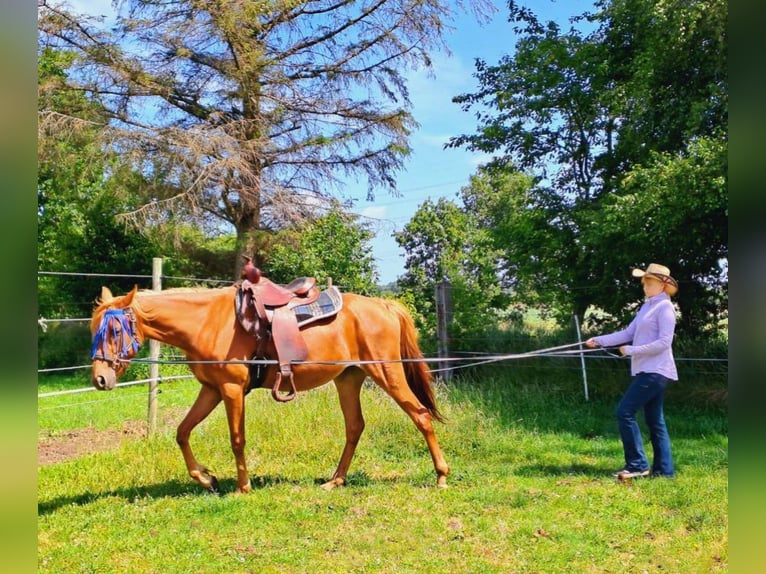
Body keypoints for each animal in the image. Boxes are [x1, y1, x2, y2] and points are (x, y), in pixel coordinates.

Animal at [90, 283, 449, 493]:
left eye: (115, 330)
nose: (100, 379)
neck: (208, 322)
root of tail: (385, 306)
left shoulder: (232, 389)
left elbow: (237, 440)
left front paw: (243, 487)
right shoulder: (211, 389)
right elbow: (182, 432)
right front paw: (206, 478)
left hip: (388, 373)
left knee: (420, 415)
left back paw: (441, 476)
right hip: (348, 379)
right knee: (354, 427)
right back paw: (335, 480)